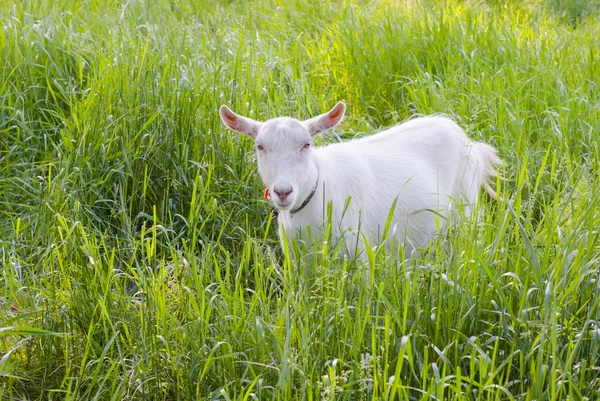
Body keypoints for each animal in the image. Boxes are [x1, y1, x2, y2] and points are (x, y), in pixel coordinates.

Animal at [220, 102, 502, 256]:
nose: (283, 192)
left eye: (306, 145)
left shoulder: (357, 252)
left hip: (466, 214)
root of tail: (471, 144)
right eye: (260, 147)